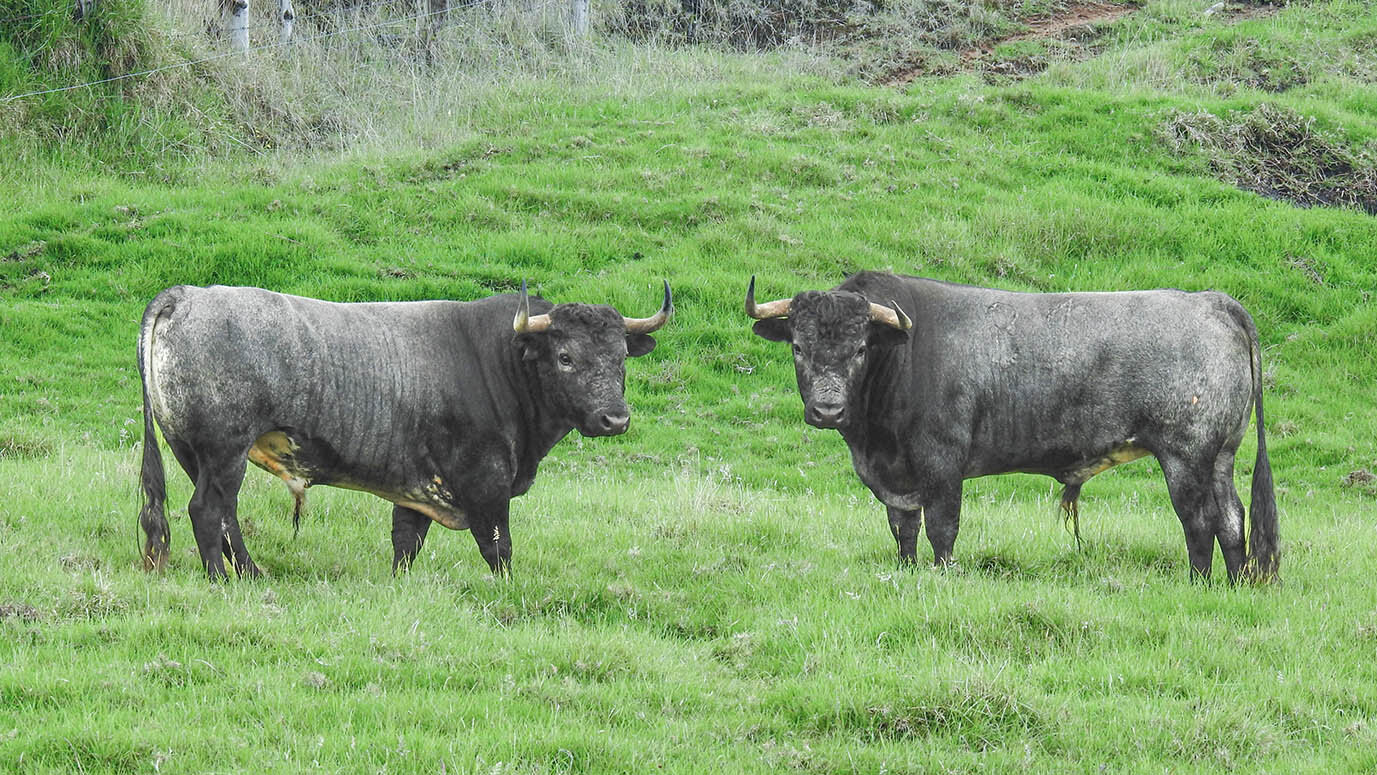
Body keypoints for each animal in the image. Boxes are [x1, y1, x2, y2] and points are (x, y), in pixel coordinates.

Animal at [139, 282, 671, 578]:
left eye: (621, 357)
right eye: (565, 357)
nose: (615, 419)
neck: (492, 357)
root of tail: (187, 294)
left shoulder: (415, 481)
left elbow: (406, 542)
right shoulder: (486, 480)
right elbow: (498, 547)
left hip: (194, 452)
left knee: (225, 516)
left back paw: (252, 574)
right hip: (224, 450)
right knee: (208, 511)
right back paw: (223, 579)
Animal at [754, 272, 1277, 583]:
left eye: (861, 347)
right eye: (798, 346)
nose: (827, 410)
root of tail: (1212, 301)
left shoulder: (942, 465)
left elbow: (942, 529)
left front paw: (942, 577)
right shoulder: (898, 481)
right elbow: (904, 530)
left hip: (1186, 457)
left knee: (1199, 522)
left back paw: (1199, 583)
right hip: (1220, 457)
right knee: (1232, 520)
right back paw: (1234, 585)